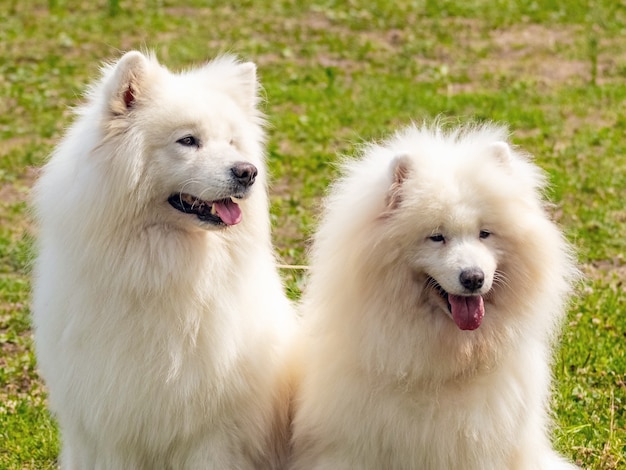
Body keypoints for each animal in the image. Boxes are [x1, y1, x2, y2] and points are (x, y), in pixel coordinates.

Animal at [33, 49, 294, 468]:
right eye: (188, 140)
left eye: (232, 142)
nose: (247, 171)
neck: (161, 271)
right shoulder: (106, 429)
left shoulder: (211, 435)